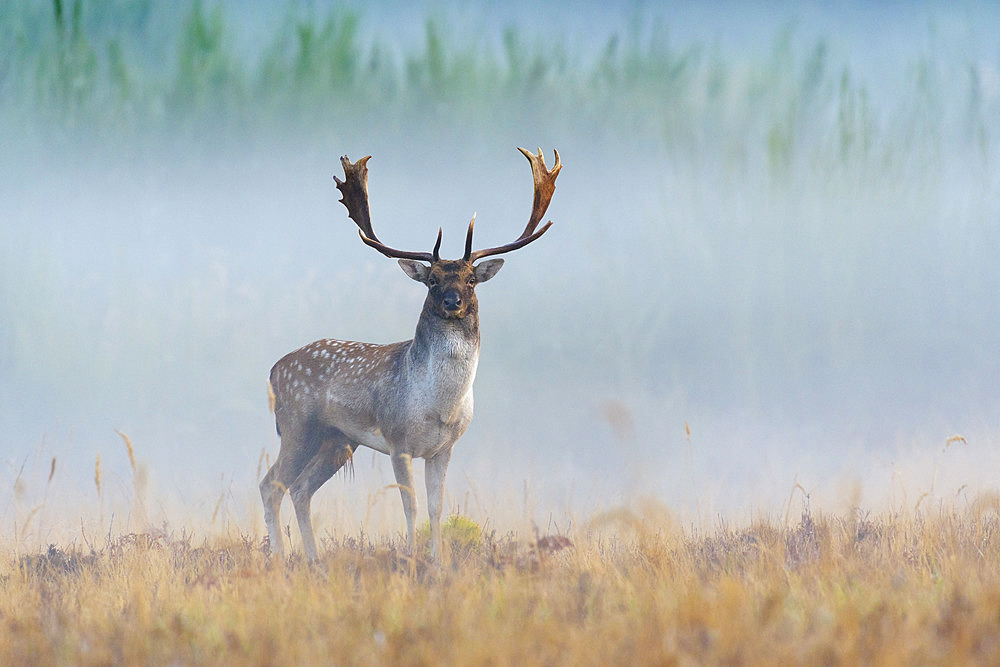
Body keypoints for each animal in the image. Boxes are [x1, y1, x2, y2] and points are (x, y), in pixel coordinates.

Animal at [260, 147, 564, 564]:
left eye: (471, 279)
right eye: (432, 280)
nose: (452, 302)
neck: (440, 406)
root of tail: (274, 369)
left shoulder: (444, 448)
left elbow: (437, 506)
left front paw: (437, 560)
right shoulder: (398, 440)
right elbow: (411, 504)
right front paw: (408, 557)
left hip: (337, 440)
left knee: (301, 488)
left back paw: (313, 559)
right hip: (297, 425)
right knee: (271, 484)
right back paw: (279, 556)